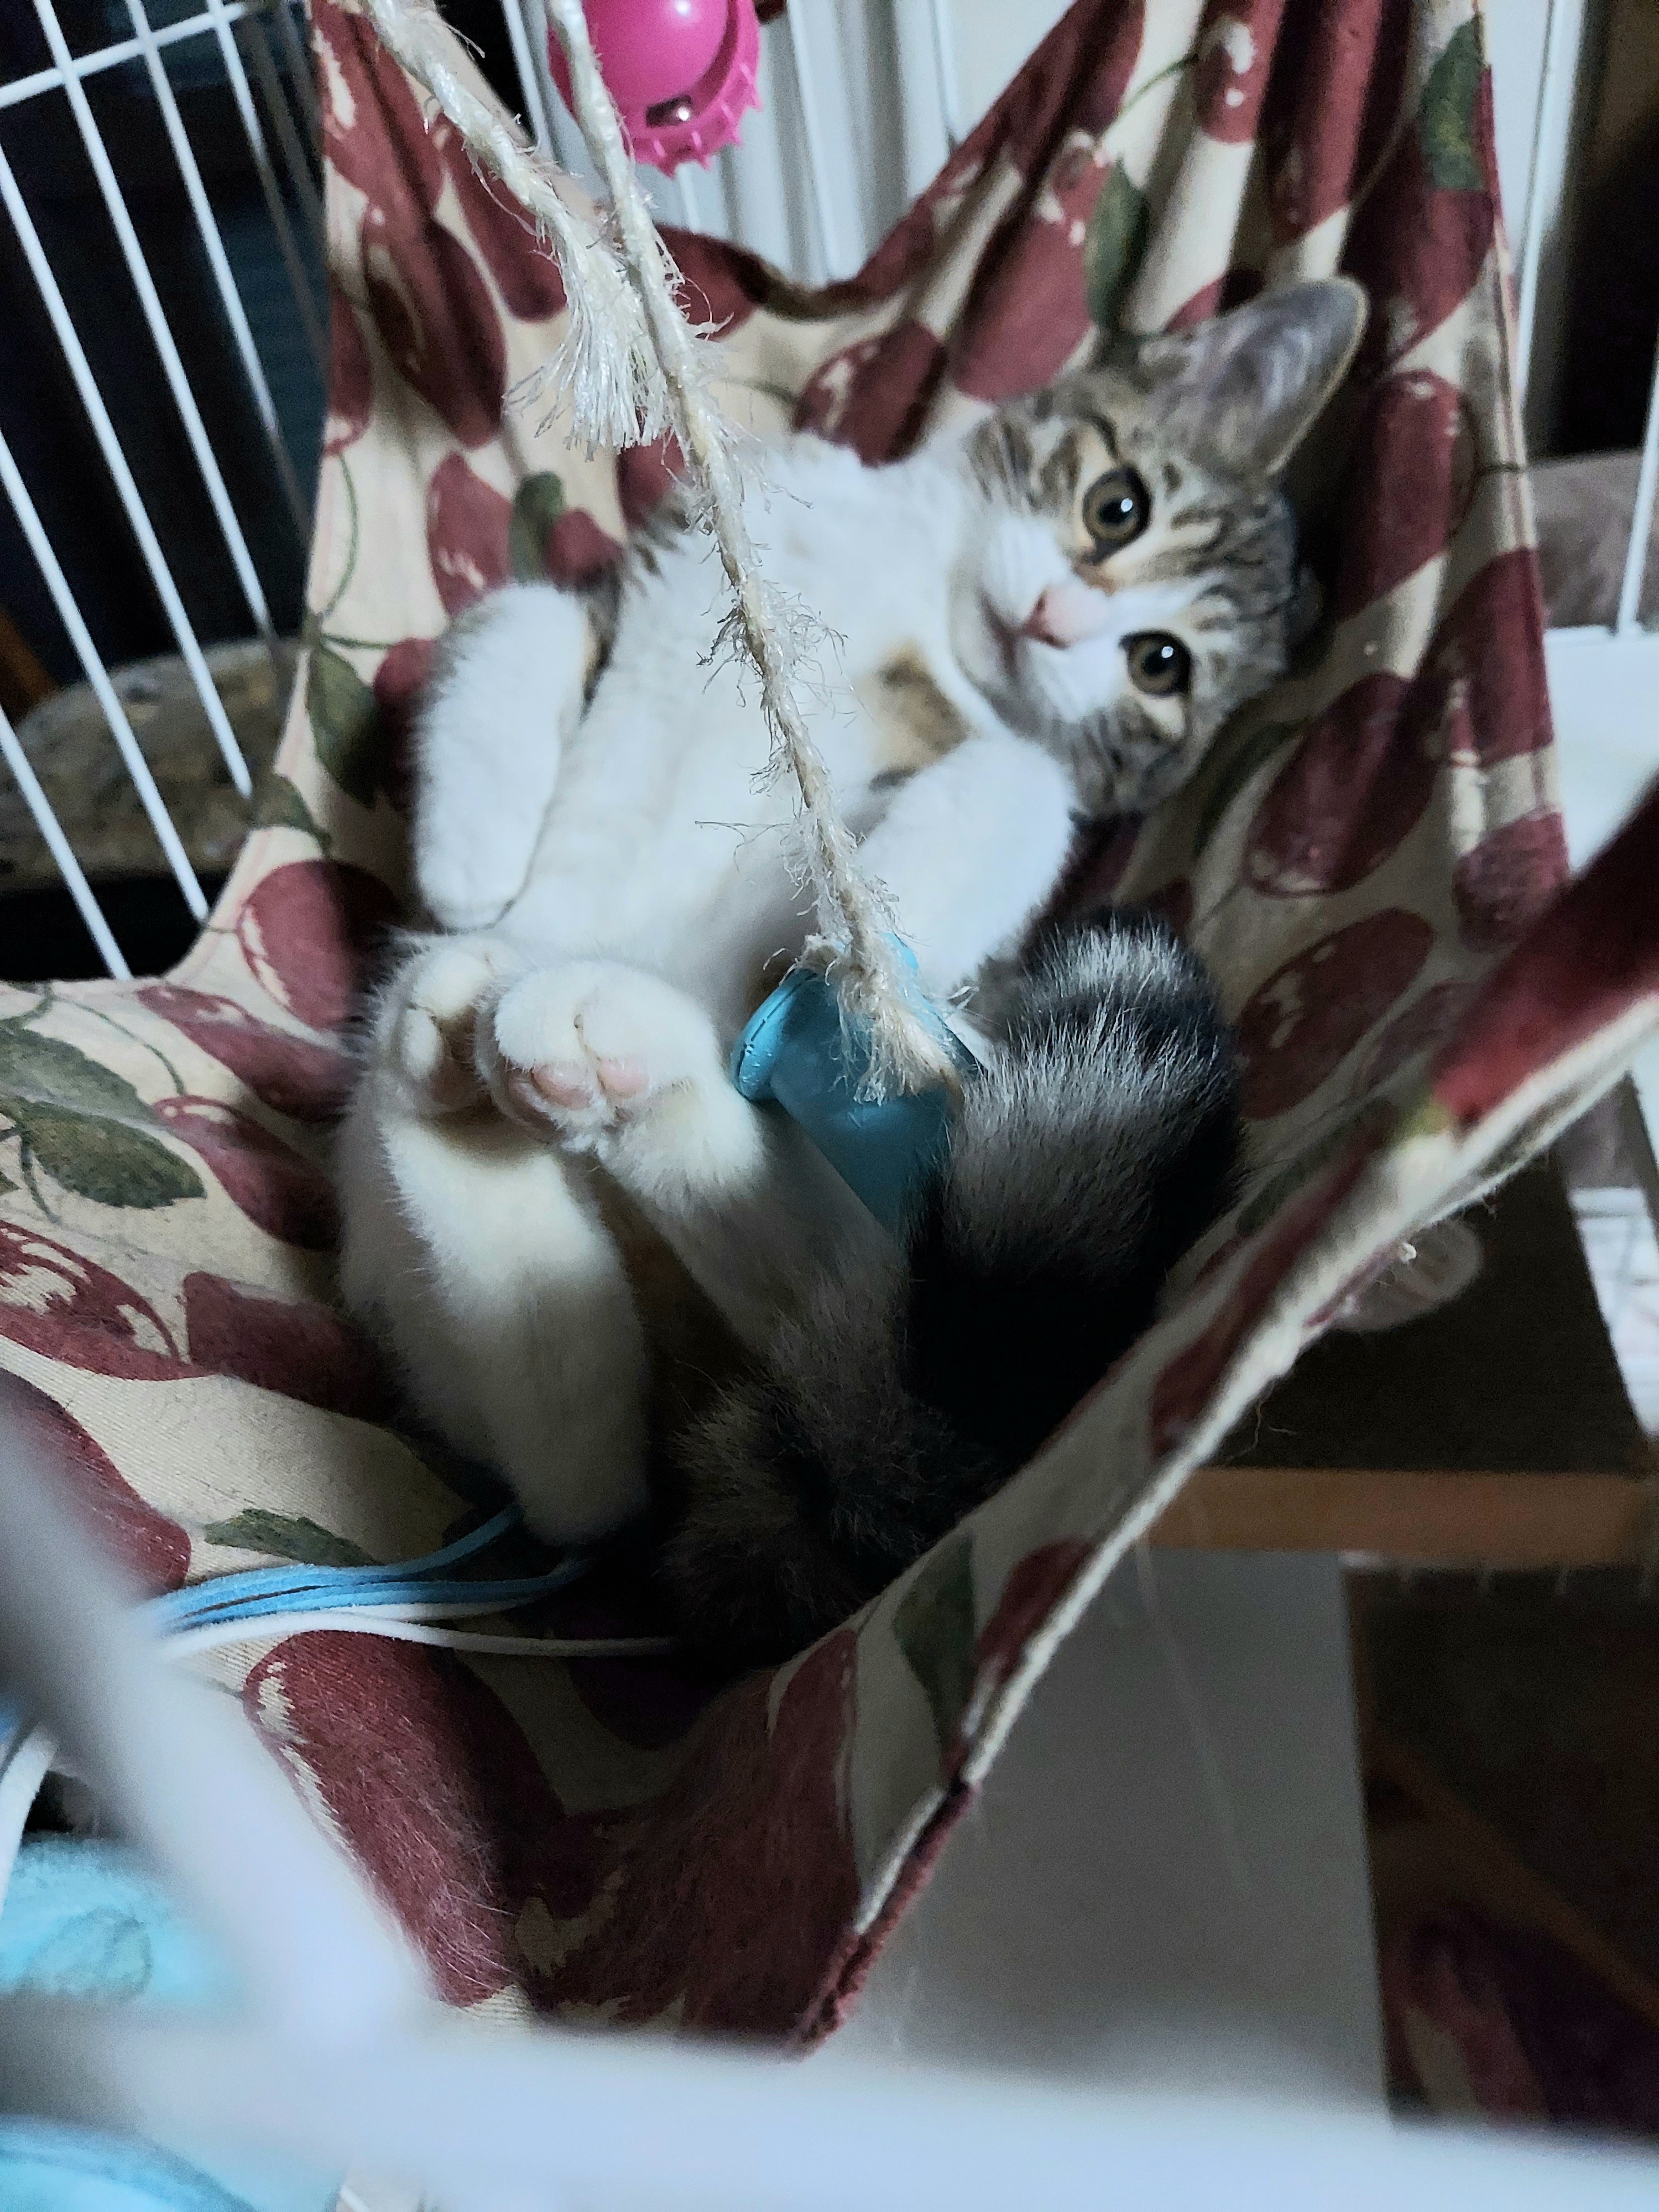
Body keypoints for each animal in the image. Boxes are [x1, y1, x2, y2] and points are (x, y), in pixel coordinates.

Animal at [337, 276, 1367, 1660]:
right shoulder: (660, 581)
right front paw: (469, 852)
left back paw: (595, 1050)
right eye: (1117, 505)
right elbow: (529, 612)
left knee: (745, 1313)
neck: (920, 598)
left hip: (883, 1227)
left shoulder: (978, 753)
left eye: (1161, 664)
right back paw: (464, 1059)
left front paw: (898, 905)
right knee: (578, 1473)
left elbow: (1025, 774)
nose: (1059, 618)